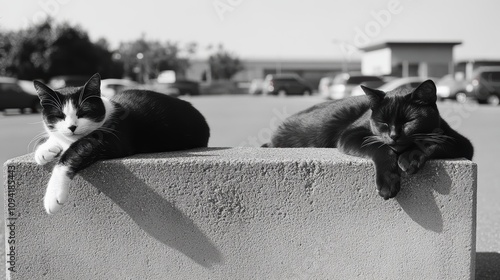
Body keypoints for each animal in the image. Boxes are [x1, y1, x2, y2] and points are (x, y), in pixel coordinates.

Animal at [33, 73, 209, 213]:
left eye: (83, 112)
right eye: (59, 115)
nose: (72, 127)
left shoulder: (114, 138)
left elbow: (74, 152)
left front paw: (53, 195)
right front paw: (44, 150)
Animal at [264, 80, 474, 200]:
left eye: (409, 121)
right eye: (383, 122)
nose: (394, 135)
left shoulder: (462, 142)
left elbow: (433, 141)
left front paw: (410, 158)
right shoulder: (352, 135)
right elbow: (381, 148)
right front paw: (388, 182)